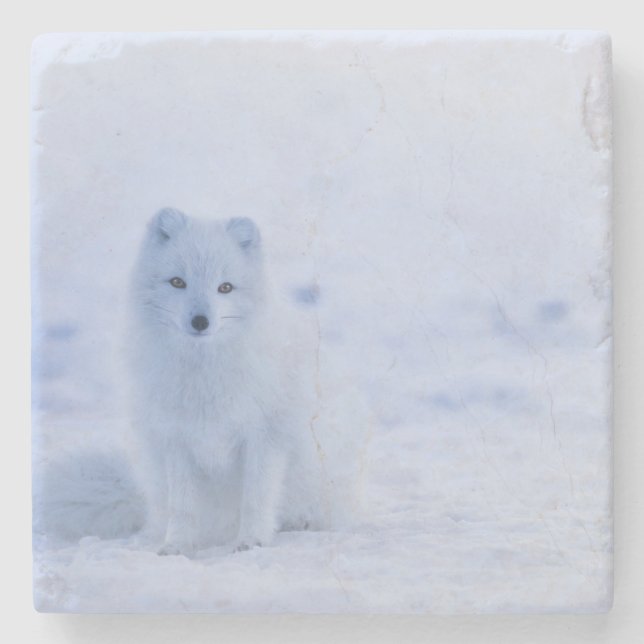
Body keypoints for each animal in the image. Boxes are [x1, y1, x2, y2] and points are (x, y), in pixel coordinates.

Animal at [128, 208, 324, 556]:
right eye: (177, 282)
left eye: (225, 287)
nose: (200, 321)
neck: (205, 374)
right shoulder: (177, 438)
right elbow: (182, 506)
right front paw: (176, 546)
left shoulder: (265, 435)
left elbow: (257, 496)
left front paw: (252, 541)